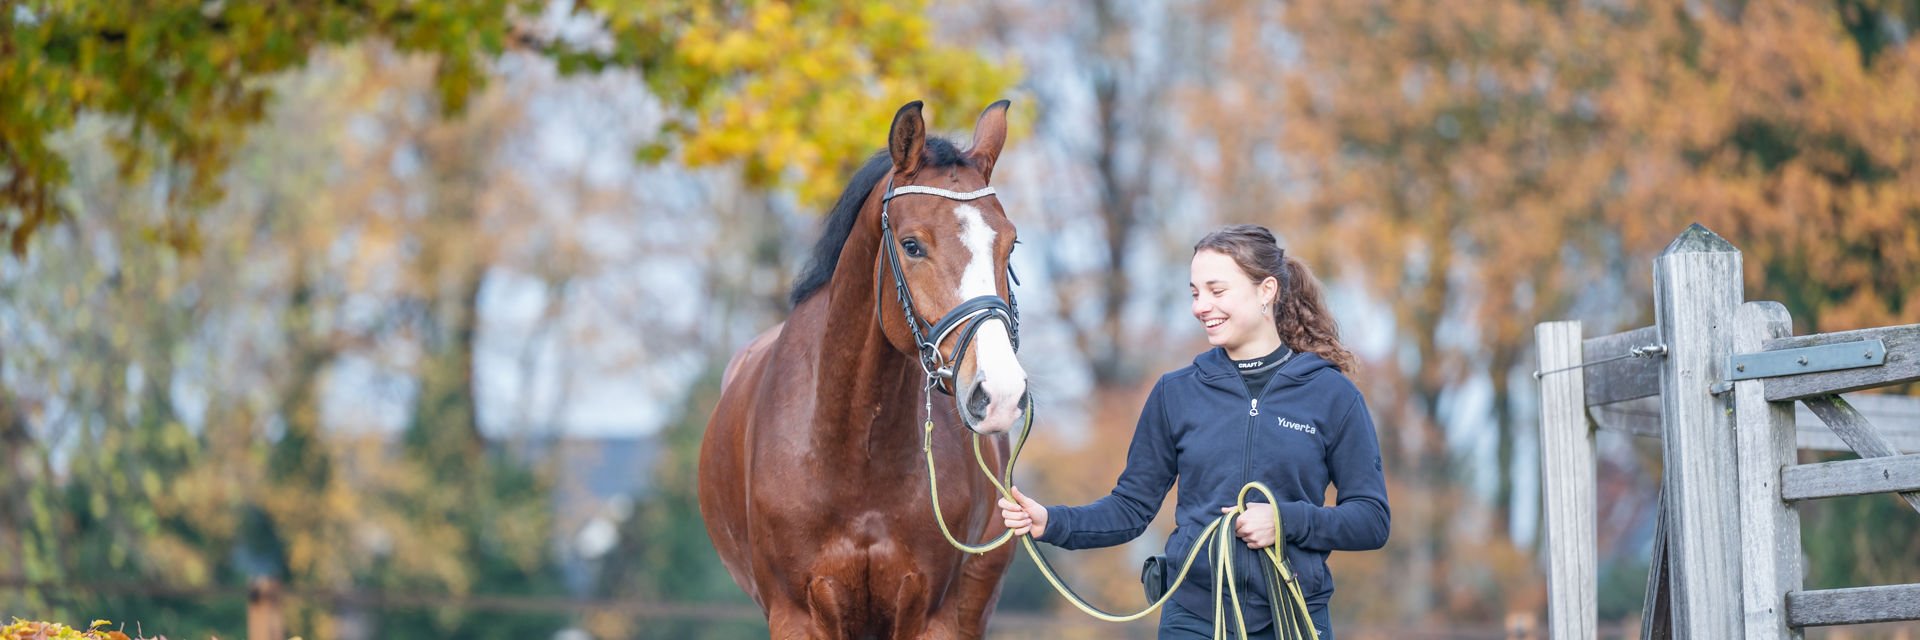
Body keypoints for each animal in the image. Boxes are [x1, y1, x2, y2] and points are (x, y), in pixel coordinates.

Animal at [699, 100, 1030, 639]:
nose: (999, 393)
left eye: (1011, 245)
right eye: (912, 245)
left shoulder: (932, 615)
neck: (855, 456)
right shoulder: (796, 615)